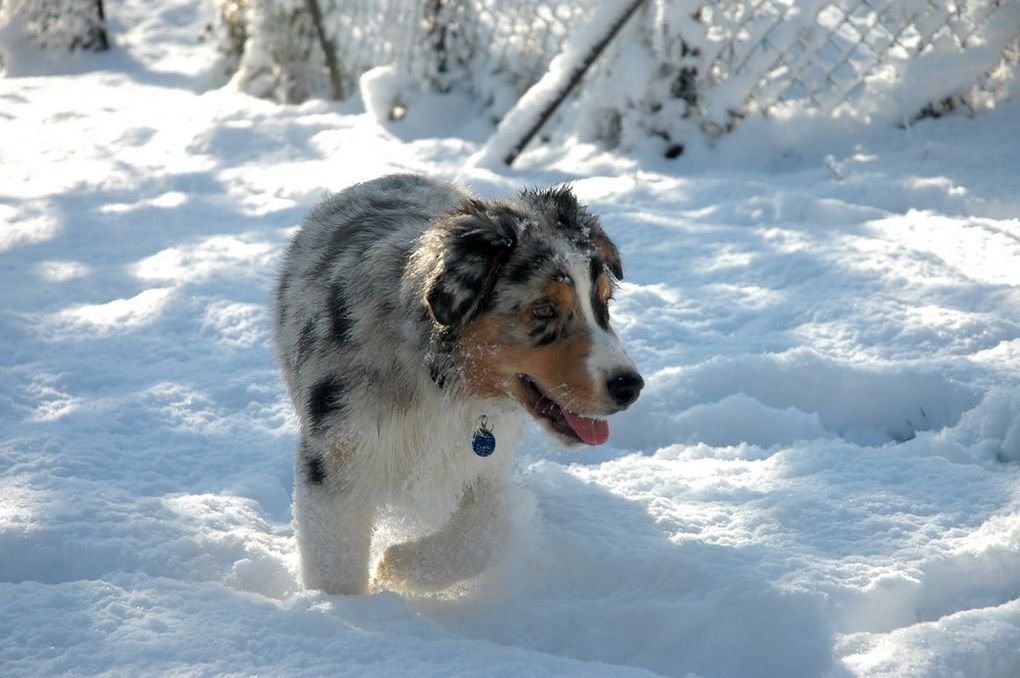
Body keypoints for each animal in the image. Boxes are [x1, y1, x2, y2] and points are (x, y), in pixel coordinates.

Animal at [275, 173, 640, 591]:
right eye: (544, 310)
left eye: (604, 304)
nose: (630, 386)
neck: (439, 382)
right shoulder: (333, 462)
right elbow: (334, 563)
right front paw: (341, 603)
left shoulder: (486, 460)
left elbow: (491, 524)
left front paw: (397, 565)